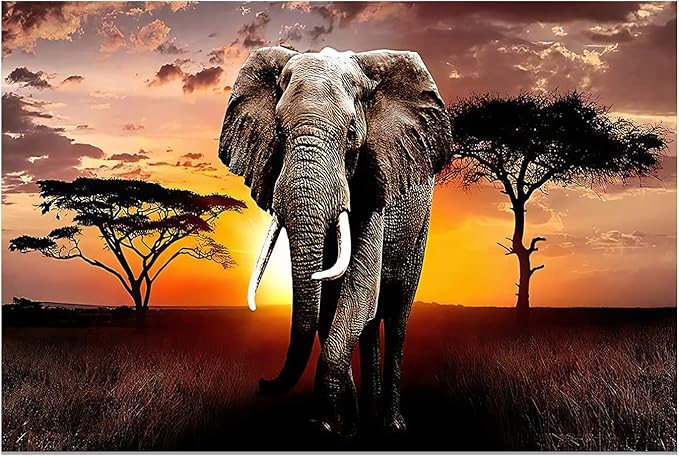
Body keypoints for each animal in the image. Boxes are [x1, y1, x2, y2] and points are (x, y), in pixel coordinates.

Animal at [218, 46, 453, 438]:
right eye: (278, 132)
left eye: (352, 133)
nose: (262, 383)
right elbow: (331, 304)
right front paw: (339, 425)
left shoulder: (373, 185)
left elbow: (357, 292)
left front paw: (328, 426)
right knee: (371, 322)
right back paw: (370, 417)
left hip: (420, 222)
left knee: (396, 310)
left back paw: (392, 425)